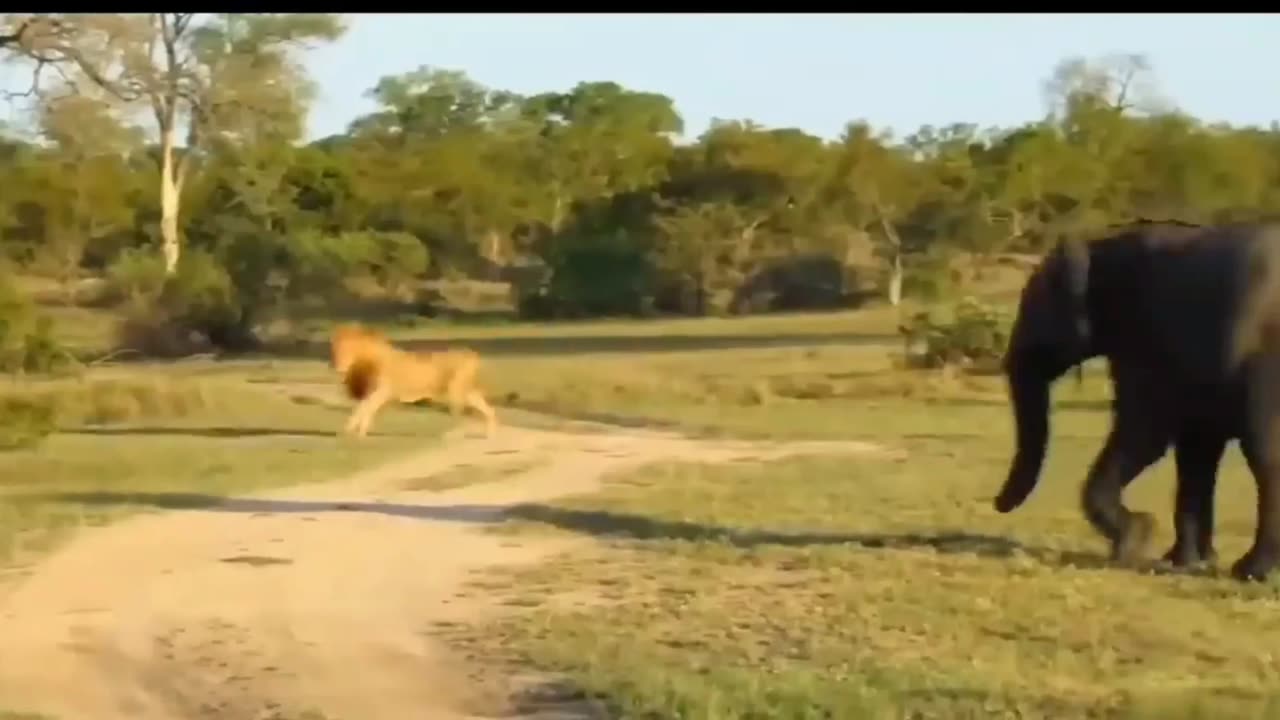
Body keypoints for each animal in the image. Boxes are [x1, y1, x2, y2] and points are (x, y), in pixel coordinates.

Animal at [327, 320, 496, 435]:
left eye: (347, 351)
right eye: (335, 351)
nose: (337, 367)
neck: (365, 362)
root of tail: (472, 354)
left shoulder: (382, 391)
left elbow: (365, 408)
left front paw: (354, 432)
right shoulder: (372, 391)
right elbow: (364, 409)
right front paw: (355, 431)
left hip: (455, 389)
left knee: (459, 413)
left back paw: (453, 434)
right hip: (467, 391)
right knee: (487, 408)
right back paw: (492, 432)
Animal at [993, 220, 1280, 584]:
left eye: (1032, 313)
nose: (996, 504)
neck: (1101, 247)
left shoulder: (1144, 342)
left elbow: (1144, 437)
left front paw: (1138, 536)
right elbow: (1194, 452)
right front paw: (1185, 561)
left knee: (1265, 453)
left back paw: (1251, 571)